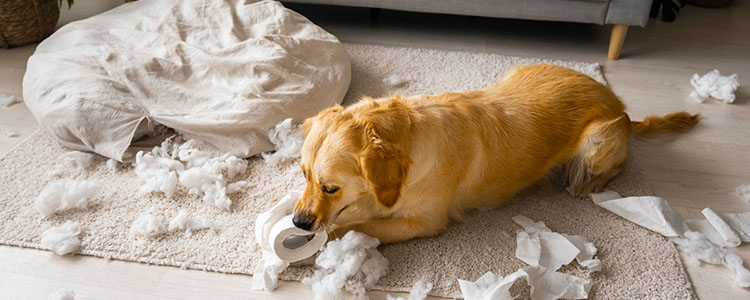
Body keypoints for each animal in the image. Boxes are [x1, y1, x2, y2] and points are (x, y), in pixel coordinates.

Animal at [292, 63, 700, 244]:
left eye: (331, 188)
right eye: (303, 175)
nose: (298, 222)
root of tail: (621, 106)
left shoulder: (424, 222)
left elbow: (359, 224)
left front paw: (331, 233)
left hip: (599, 141)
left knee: (610, 167)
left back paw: (586, 183)